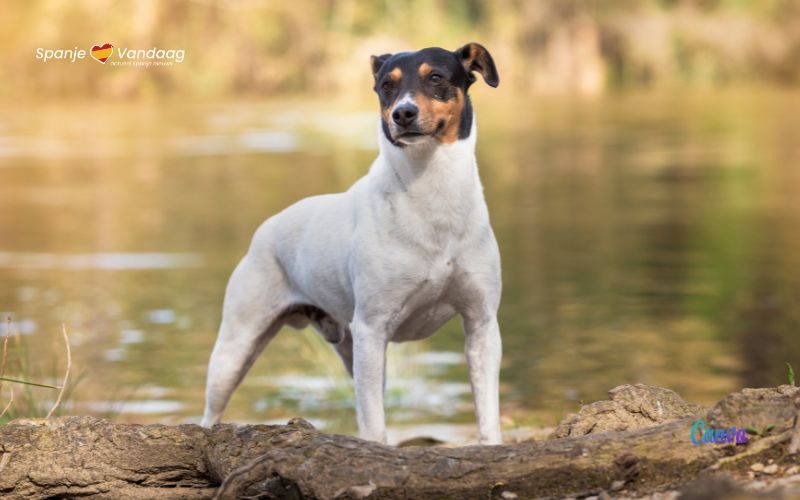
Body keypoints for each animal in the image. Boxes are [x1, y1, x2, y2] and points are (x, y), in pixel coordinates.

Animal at [200, 42, 500, 442]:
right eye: (386, 85)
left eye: (435, 76)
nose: (403, 113)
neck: (432, 192)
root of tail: (266, 228)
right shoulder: (372, 330)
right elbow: (374, 427)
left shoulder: (482, 324)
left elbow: (487, 416)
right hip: (237, 345)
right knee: (210, 411)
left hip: (348, 347)